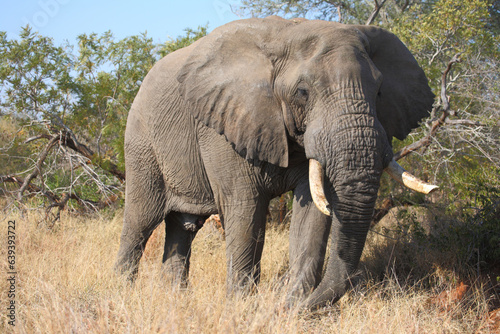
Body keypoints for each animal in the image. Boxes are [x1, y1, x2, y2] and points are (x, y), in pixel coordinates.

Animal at [115, 15, 436, 308]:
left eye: (379, 90)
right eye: (303, 92)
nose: (284, 302)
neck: (290, 32)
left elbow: (313, 215)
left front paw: (293, 305)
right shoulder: (222, 125)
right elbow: (245, 209)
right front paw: (242, 308)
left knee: (182, 228)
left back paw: (175, 301)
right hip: (142, 145)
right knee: (140, 222)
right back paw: (123, 296)